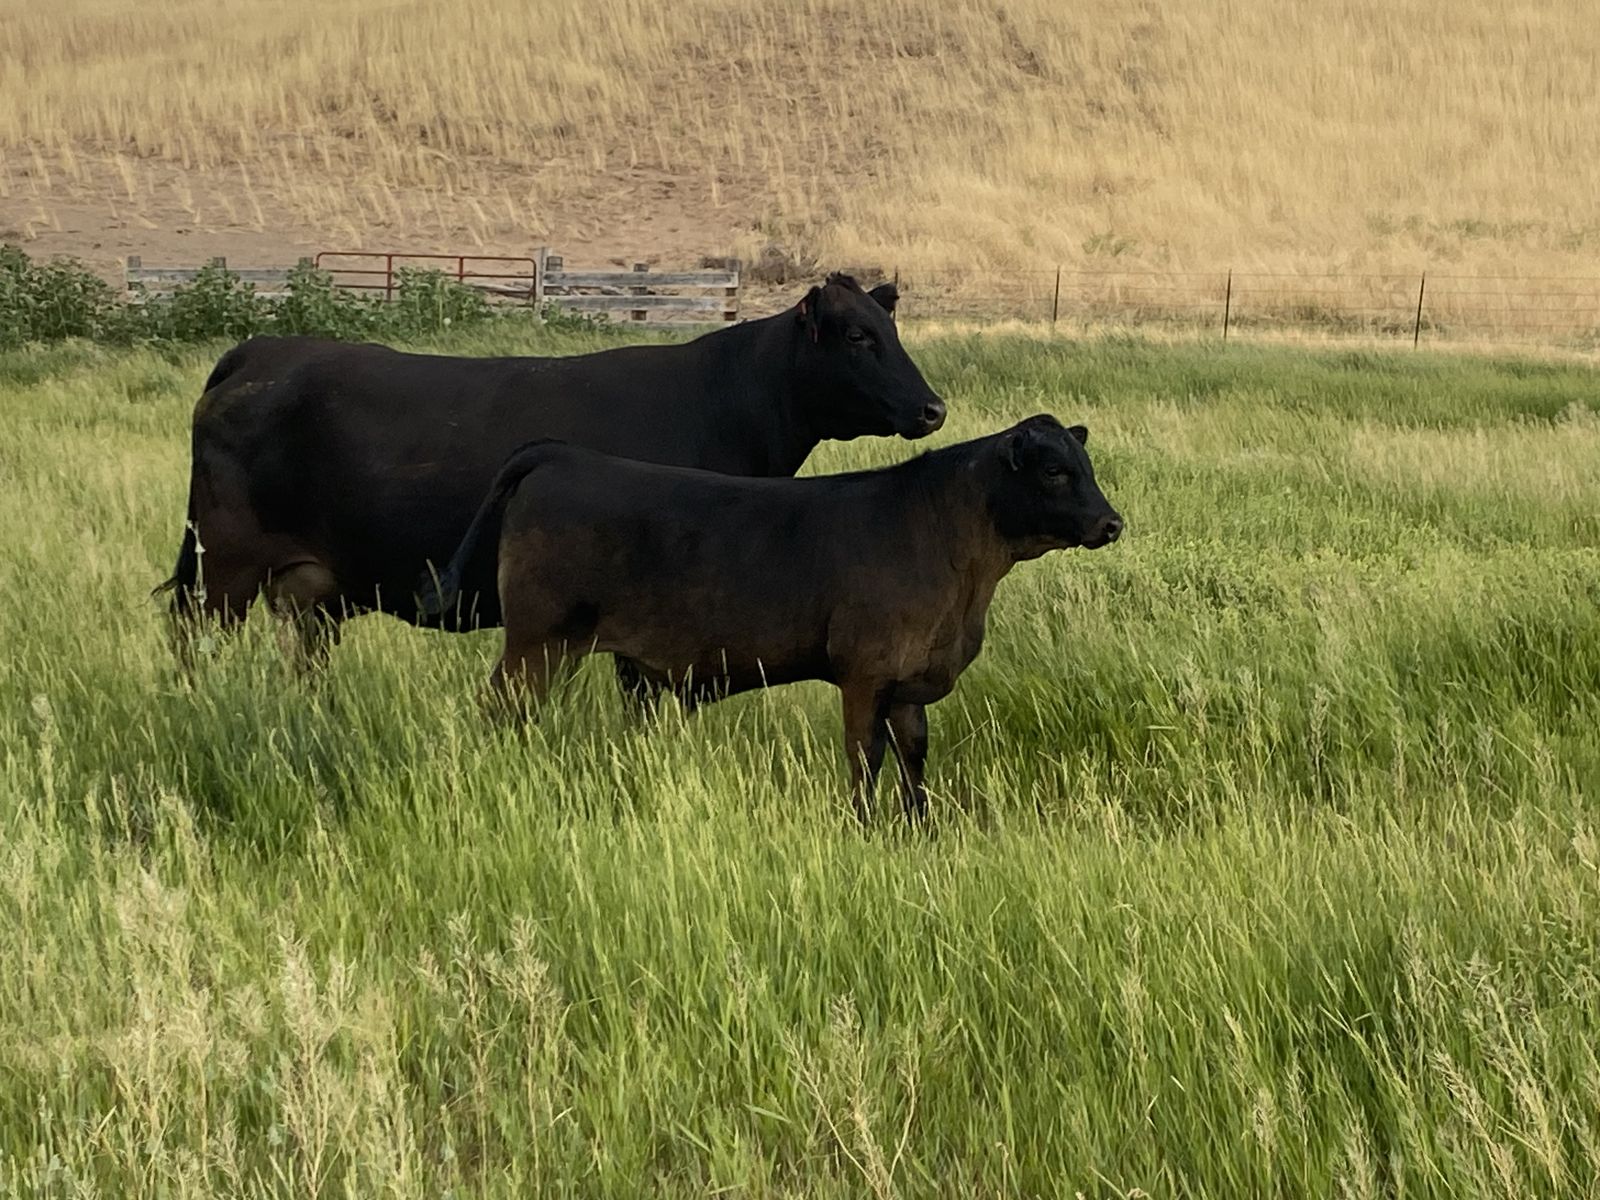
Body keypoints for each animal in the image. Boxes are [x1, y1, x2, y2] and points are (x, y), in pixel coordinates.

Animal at [157, 274, 945, 698]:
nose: (933, 407)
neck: (725, 401)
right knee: (194, 640)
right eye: (858, 338)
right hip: (223, 569)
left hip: (309, 587)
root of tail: (264, 348)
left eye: (892, 330)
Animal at [418, 414, 1123, 823]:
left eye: (1086, 467)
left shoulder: (907, 682)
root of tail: (562, 455)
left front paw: (920, 827)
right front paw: (862, 826)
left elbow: (914, 756)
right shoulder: (864, 675)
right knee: (502, 712)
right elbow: (864, 755)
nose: (1111, 523)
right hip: (537, 645)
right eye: (1055, 471)